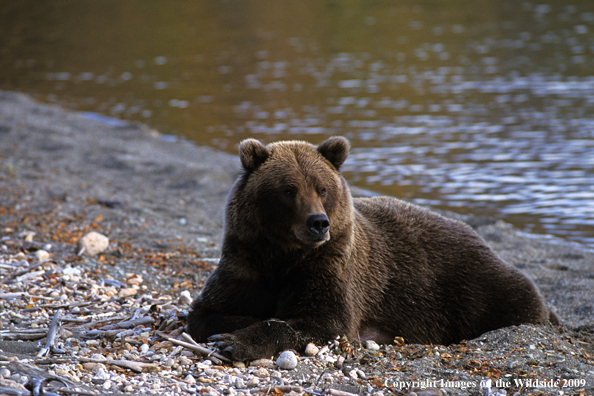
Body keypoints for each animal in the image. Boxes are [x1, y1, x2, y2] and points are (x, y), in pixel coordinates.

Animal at [187, 136, 556, 362]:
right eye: (288, 190)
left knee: (517, 299)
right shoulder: (245, 260)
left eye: (322, 188)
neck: (284, 255)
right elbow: (207, 311)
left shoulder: (330, 267)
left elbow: (326, 321)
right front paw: (233, 328)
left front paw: (235, 340)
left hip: (471, 284)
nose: (318, 223)